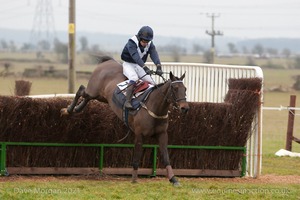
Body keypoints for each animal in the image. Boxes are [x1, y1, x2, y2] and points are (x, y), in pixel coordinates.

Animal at [59, 55, 189, 186]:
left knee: (86, 98)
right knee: (81, 90)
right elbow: (136, 156)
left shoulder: (162, 134)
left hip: (102, 97)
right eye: (175, 88)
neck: (154, 107)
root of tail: (108, 61)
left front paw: (173, 179)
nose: (185, 108)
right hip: (93, 90)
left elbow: (166, 157)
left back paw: (76, 109)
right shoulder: (139, 134)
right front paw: (134, 179)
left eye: (185, 89)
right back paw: (68, 110)